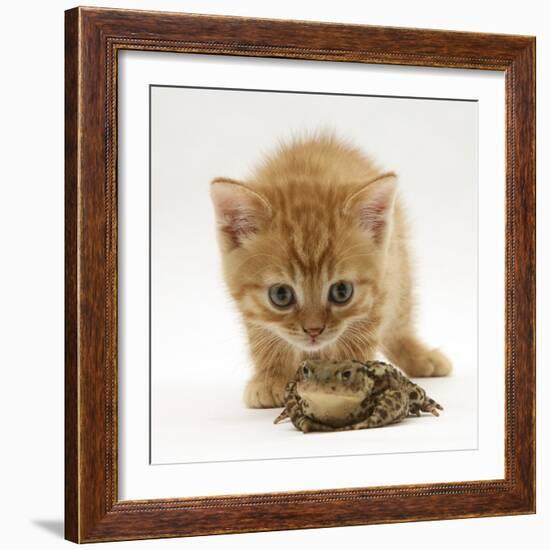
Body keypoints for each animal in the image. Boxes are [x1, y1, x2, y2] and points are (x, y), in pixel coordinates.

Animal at [211, 135, 452, 410]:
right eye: (280, 295)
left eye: (342, 291)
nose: (314, 330)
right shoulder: (252, 311)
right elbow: (264, 339)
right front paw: (271, 378)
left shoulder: (379, 290)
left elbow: (359, 340)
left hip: (400, 267)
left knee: (399, 323)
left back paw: (421, 357)